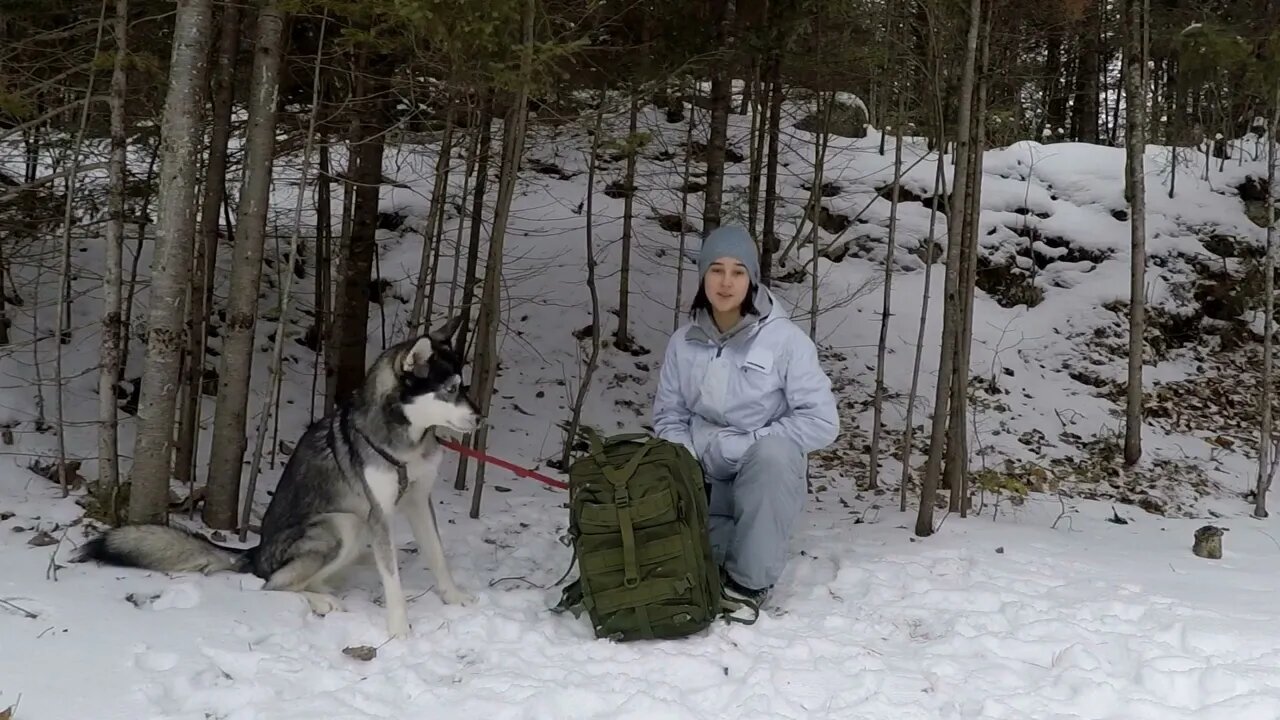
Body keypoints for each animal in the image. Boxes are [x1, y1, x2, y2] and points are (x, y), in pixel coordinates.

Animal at [76, 313, 483, 632]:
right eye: (450, 390)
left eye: (464, 386)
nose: (480, 418)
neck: (407, 441)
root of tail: (256, 553)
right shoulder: (379, 511)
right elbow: (392, 581)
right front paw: (400, 631)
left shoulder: (418, 499)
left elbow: (437, 556)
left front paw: (453, 597)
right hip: (343, 524)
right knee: (274, 583)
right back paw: (321, 600)